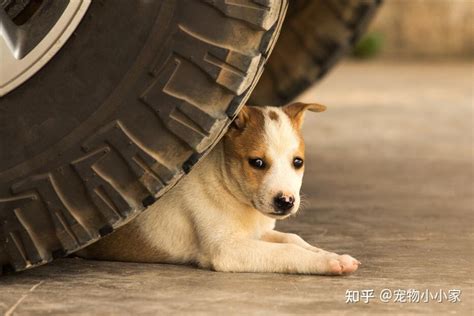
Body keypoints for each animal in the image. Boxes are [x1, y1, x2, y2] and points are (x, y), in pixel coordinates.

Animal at [81, 103, 362, 274]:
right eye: (257, 162)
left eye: (298, 162)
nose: (286, 201)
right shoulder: (227, 249)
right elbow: (287, 250)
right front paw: (328, 262)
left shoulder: (257, 234)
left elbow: (293, 239)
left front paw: (331, 254)